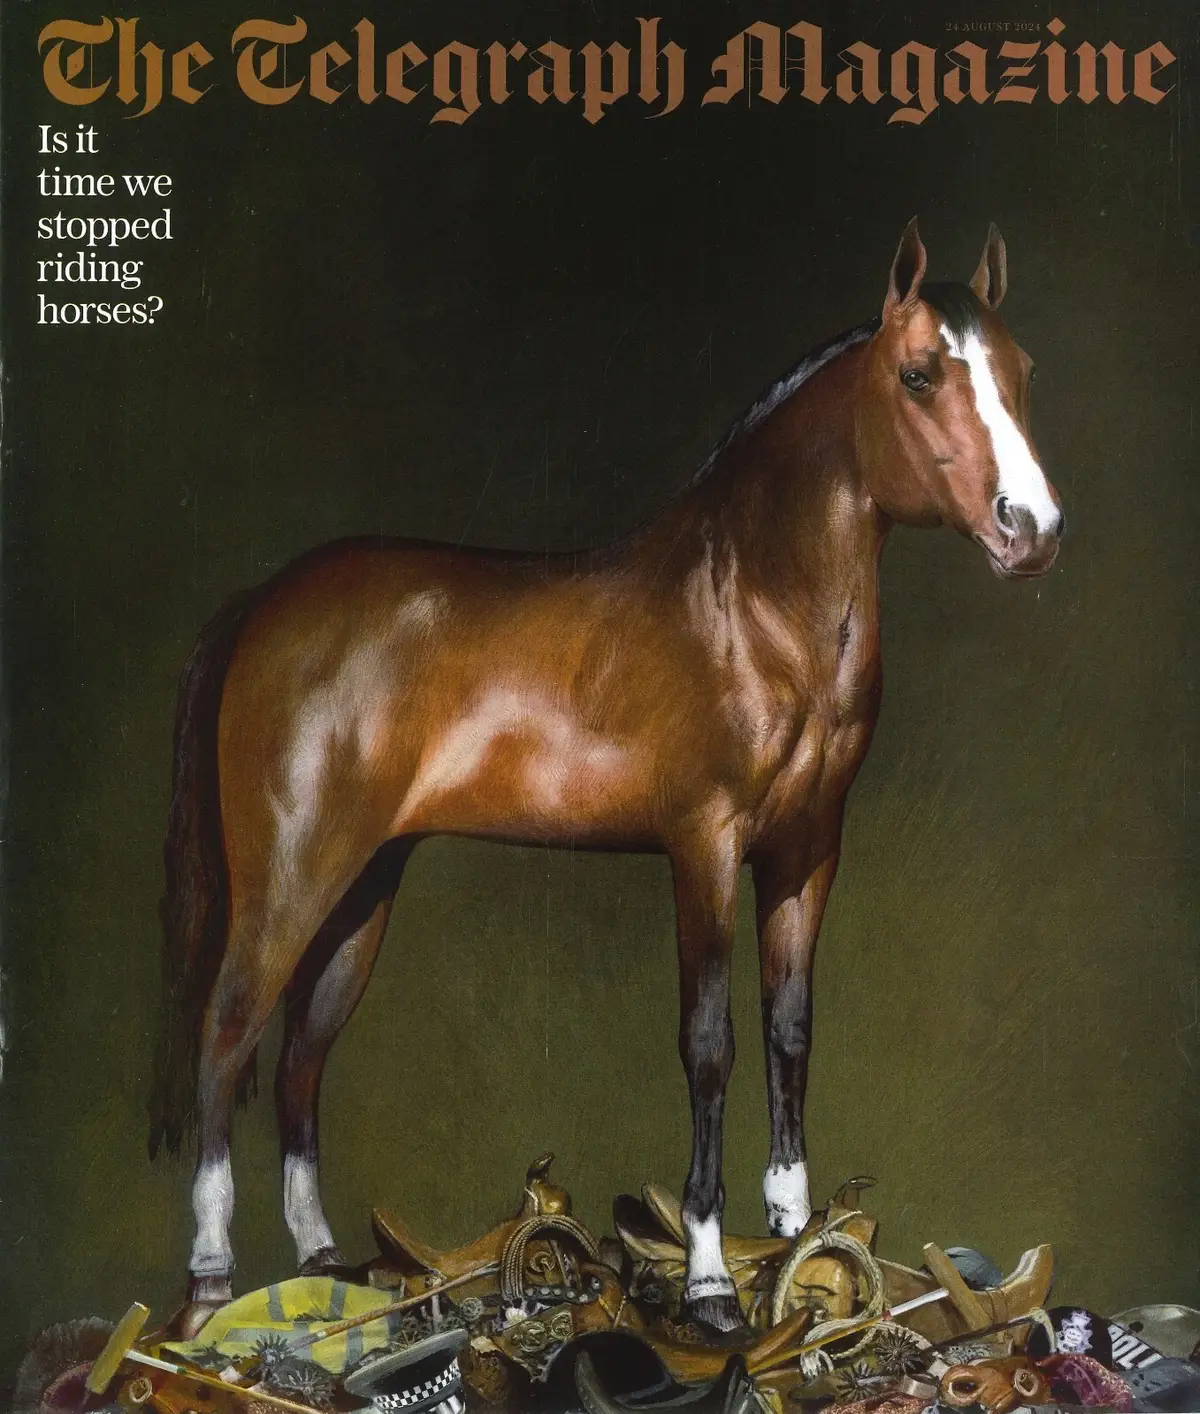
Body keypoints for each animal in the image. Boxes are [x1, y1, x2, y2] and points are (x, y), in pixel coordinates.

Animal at [149, 220, 1063, 1335]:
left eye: (1021, 371)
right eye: (921, 373)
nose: (1032, 528)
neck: (754, 602)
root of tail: (265, 604)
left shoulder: (807, 850)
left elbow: (790, 1030)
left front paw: (797, 1244)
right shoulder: (704, 845)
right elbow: (711, 1042)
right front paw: (711, 1281)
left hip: (363, 888)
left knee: (298, 1059)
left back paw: (324, 1264)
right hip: (290, 875)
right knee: (225, 1035)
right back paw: (209, 1283)